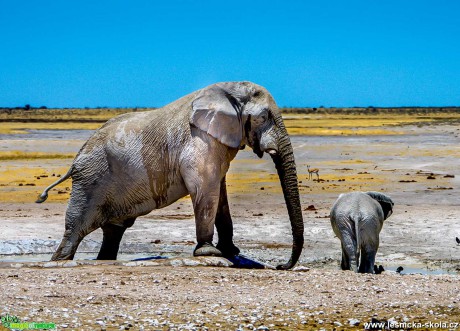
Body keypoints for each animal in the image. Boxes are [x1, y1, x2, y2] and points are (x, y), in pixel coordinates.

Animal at [36, 81, 306, 272]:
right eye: (263, 117)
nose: (281, 266)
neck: (228, 90)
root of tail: (76, 159)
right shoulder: (199, 139)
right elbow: (205, 188)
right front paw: (210, 253)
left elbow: (219, 193)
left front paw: (231, 251)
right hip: (91, 179)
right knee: (76, 228)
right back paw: (59, 261)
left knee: (113, 231)